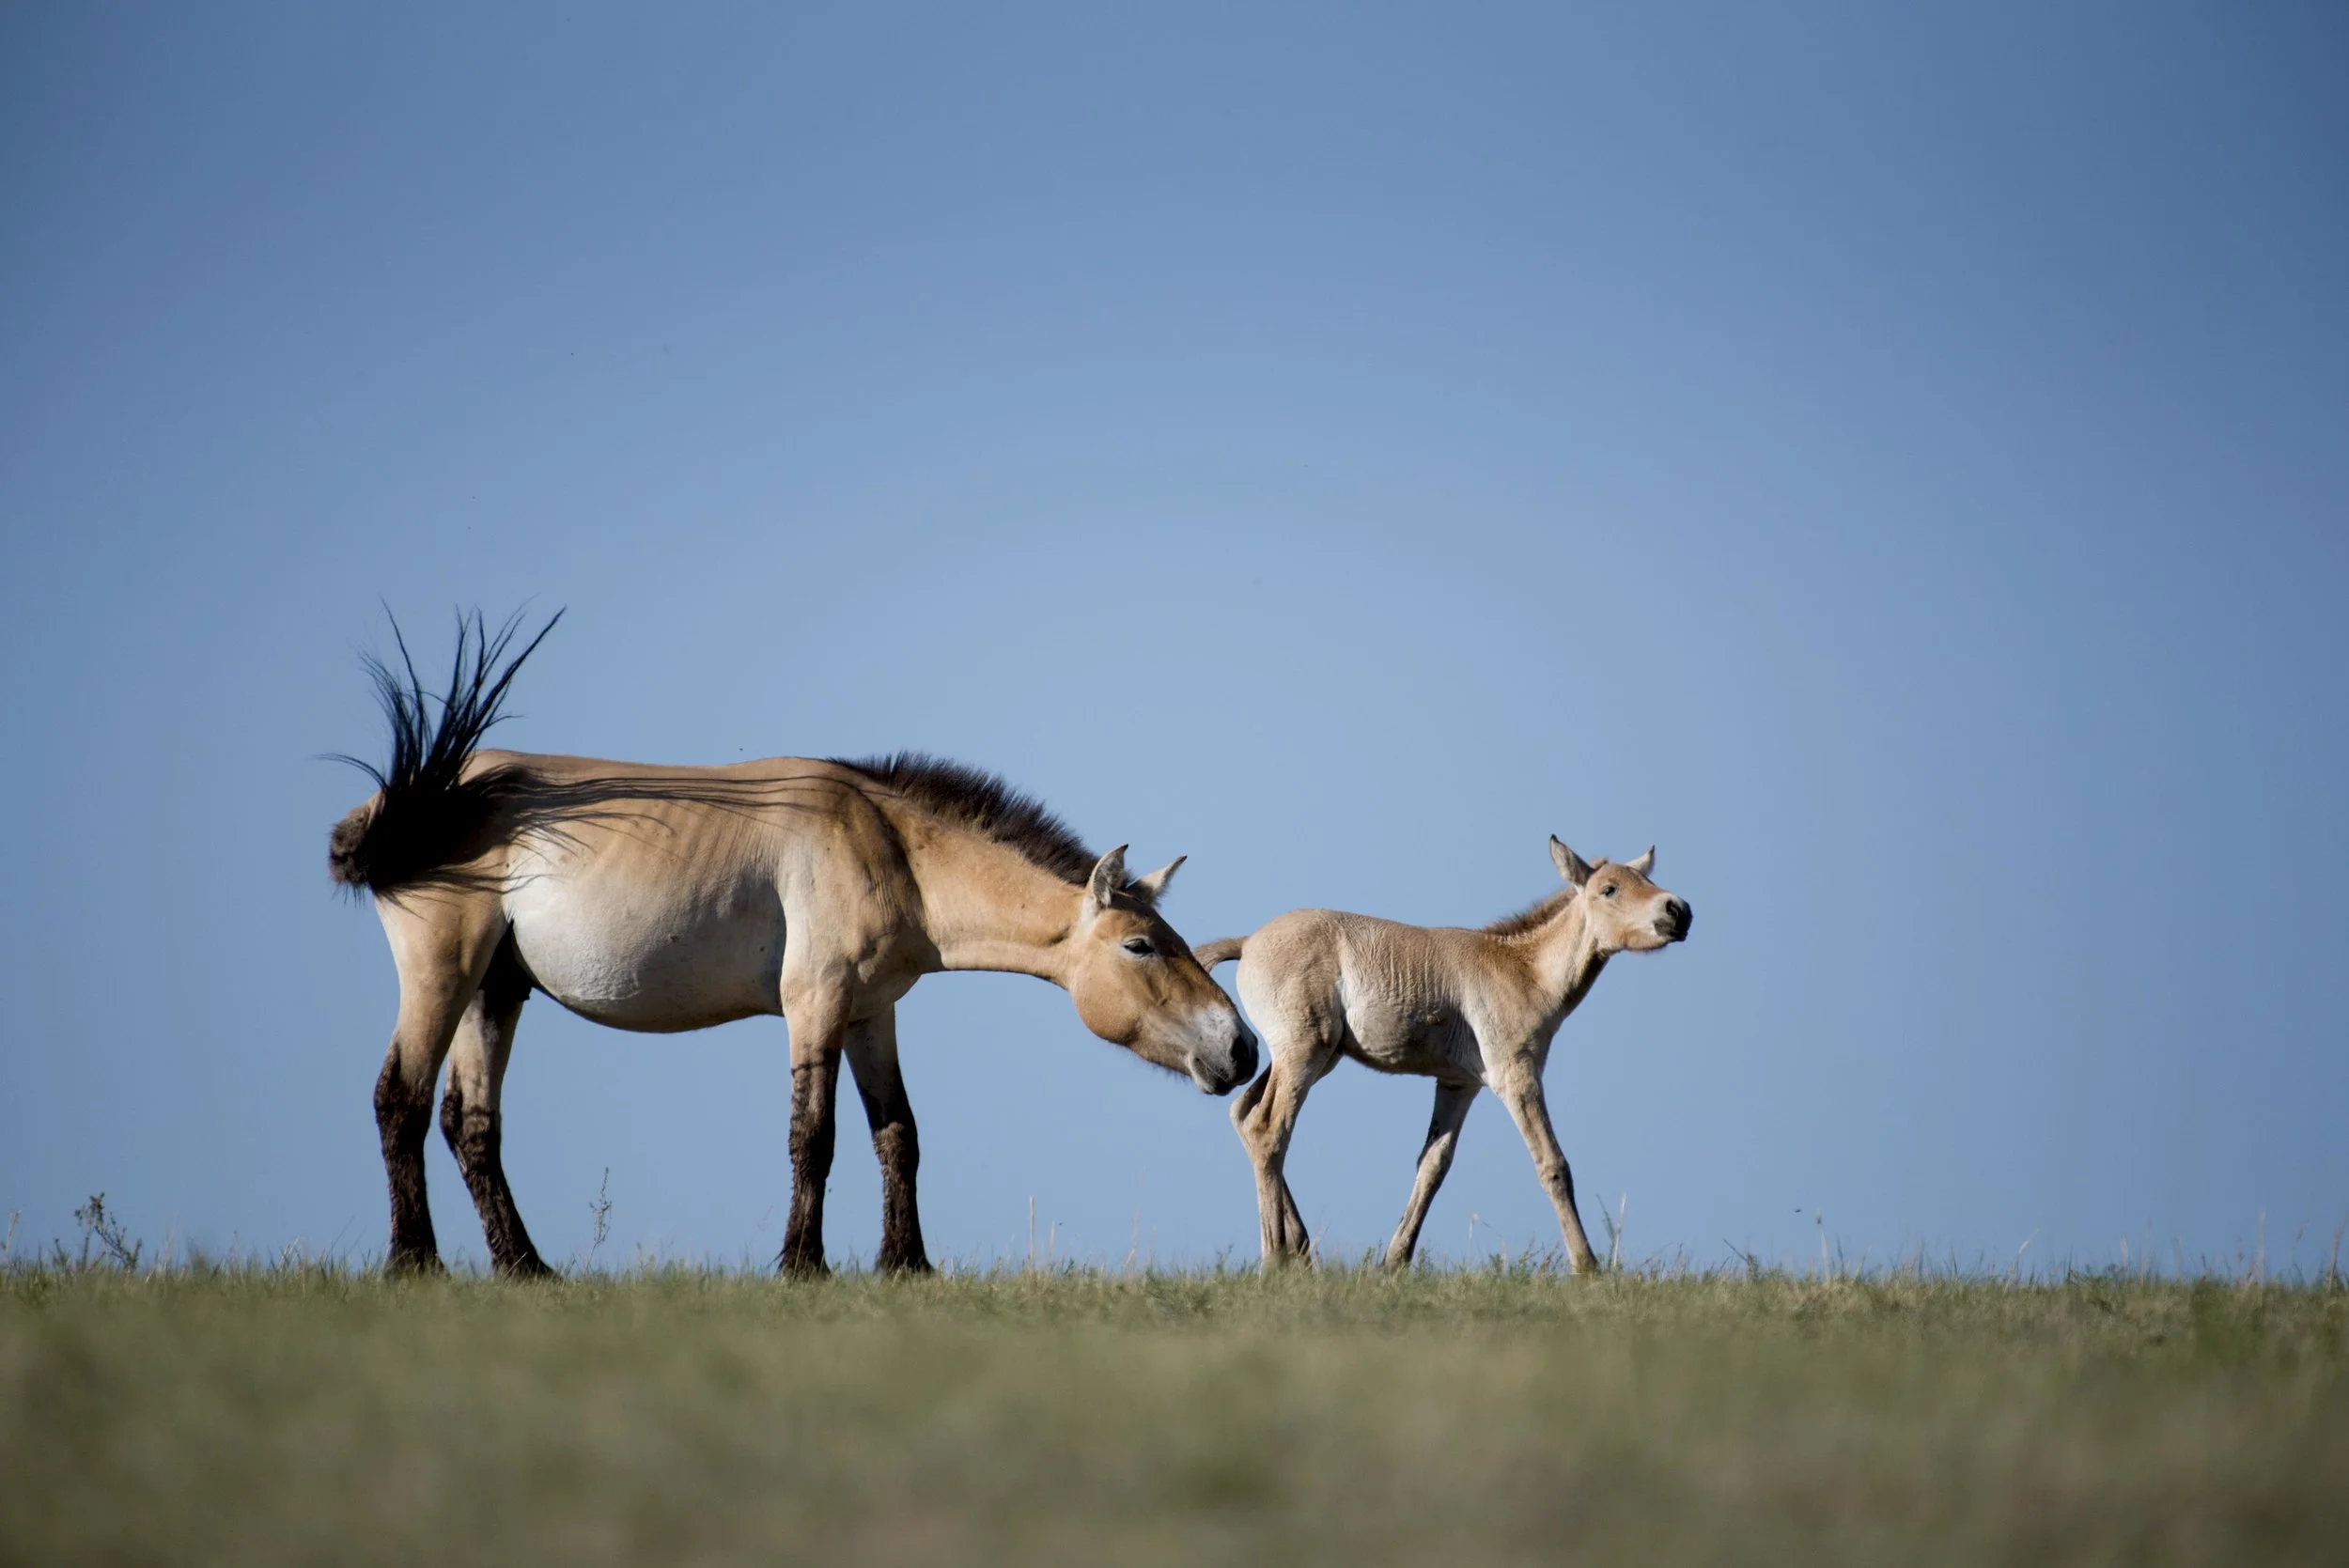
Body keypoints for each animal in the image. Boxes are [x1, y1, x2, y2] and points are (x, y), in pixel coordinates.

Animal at [334, 610, 1259, 1277]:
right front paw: (802, 1264)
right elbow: (813, 1135)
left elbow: (899, 1135)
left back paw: (525, 1267)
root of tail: (403, 807)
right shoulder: (814, 1001)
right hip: (443, 972)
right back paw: (416, 1263)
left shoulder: (871, 1014)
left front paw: (906, 1264)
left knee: (470, 1124)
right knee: (400, 1099)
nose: (1242, 1047)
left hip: (496, 989)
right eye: (1141, 945)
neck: (887, 847)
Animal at [1193, 845, 1691, 1277]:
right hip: (1303, 1054)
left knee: (1245, 1117)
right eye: (1609, 889)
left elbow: (1432, 1166)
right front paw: (1588, 1268)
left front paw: (1393, 1263)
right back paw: (1275, 1261)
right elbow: (1552, 1165)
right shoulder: (1517, 1075)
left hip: (1312, 1059)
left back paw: (1299, 1248)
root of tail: (1248, 942)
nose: (1678, 910)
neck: (1523, 970)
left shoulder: (1458, 1085)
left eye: (1647, 879)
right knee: (1269, 1131)